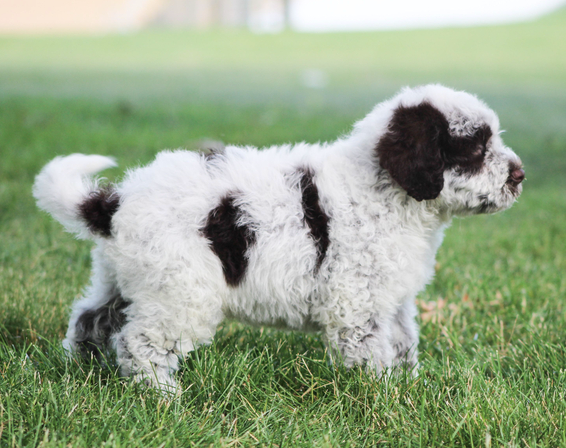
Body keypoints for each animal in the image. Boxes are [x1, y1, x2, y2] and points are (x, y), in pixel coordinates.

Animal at [33, 84, 524, 392]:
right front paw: (382, 395)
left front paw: (409, 388)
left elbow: (402, 344)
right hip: (179, 292)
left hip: (123, 278)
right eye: (476, 148)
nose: (519, 176)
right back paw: (161, 395)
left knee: (90, 320)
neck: (387, 190)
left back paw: (79, 371)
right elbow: (371, 353)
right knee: (139, 342)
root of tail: (114, 202)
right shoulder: (355, 302)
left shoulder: (393, 300)